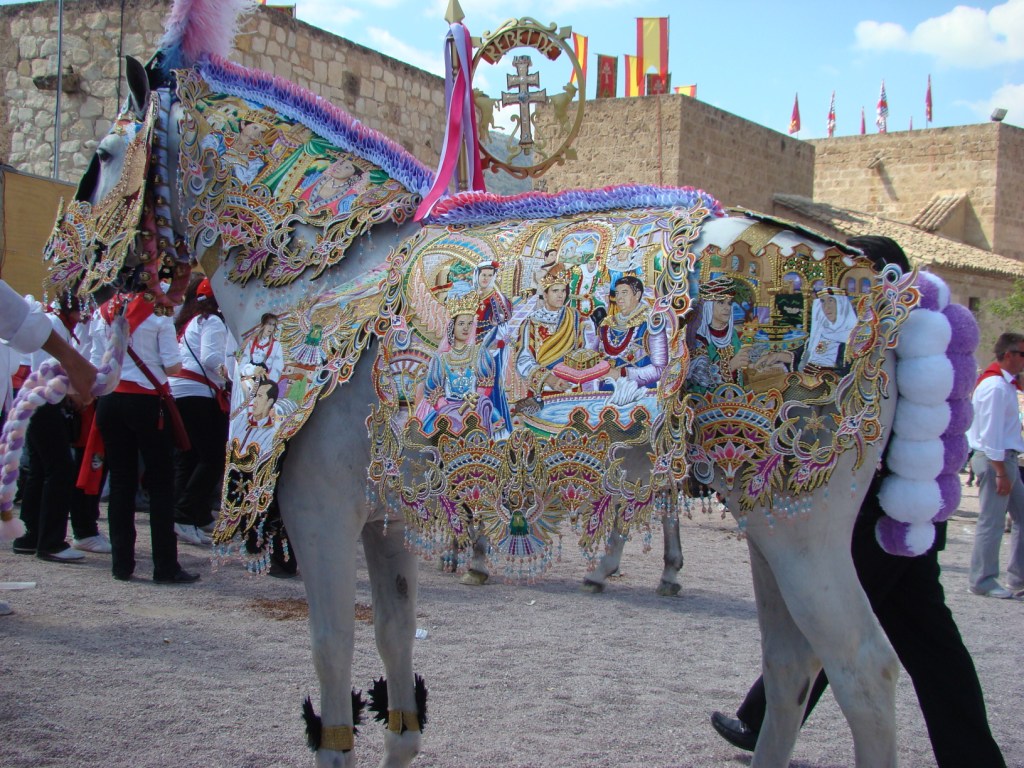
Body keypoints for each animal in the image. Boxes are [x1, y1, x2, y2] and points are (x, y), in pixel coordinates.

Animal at [41, 3, 974, 765]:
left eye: (98, 160)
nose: (62, 278)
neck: (328, 270)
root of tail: (895, 286)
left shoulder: (319, 513)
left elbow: (335, 664)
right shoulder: (386, 517)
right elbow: (398, 653)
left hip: (802, 527)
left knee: (862, 673)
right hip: (768, 517)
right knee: (790, 670)